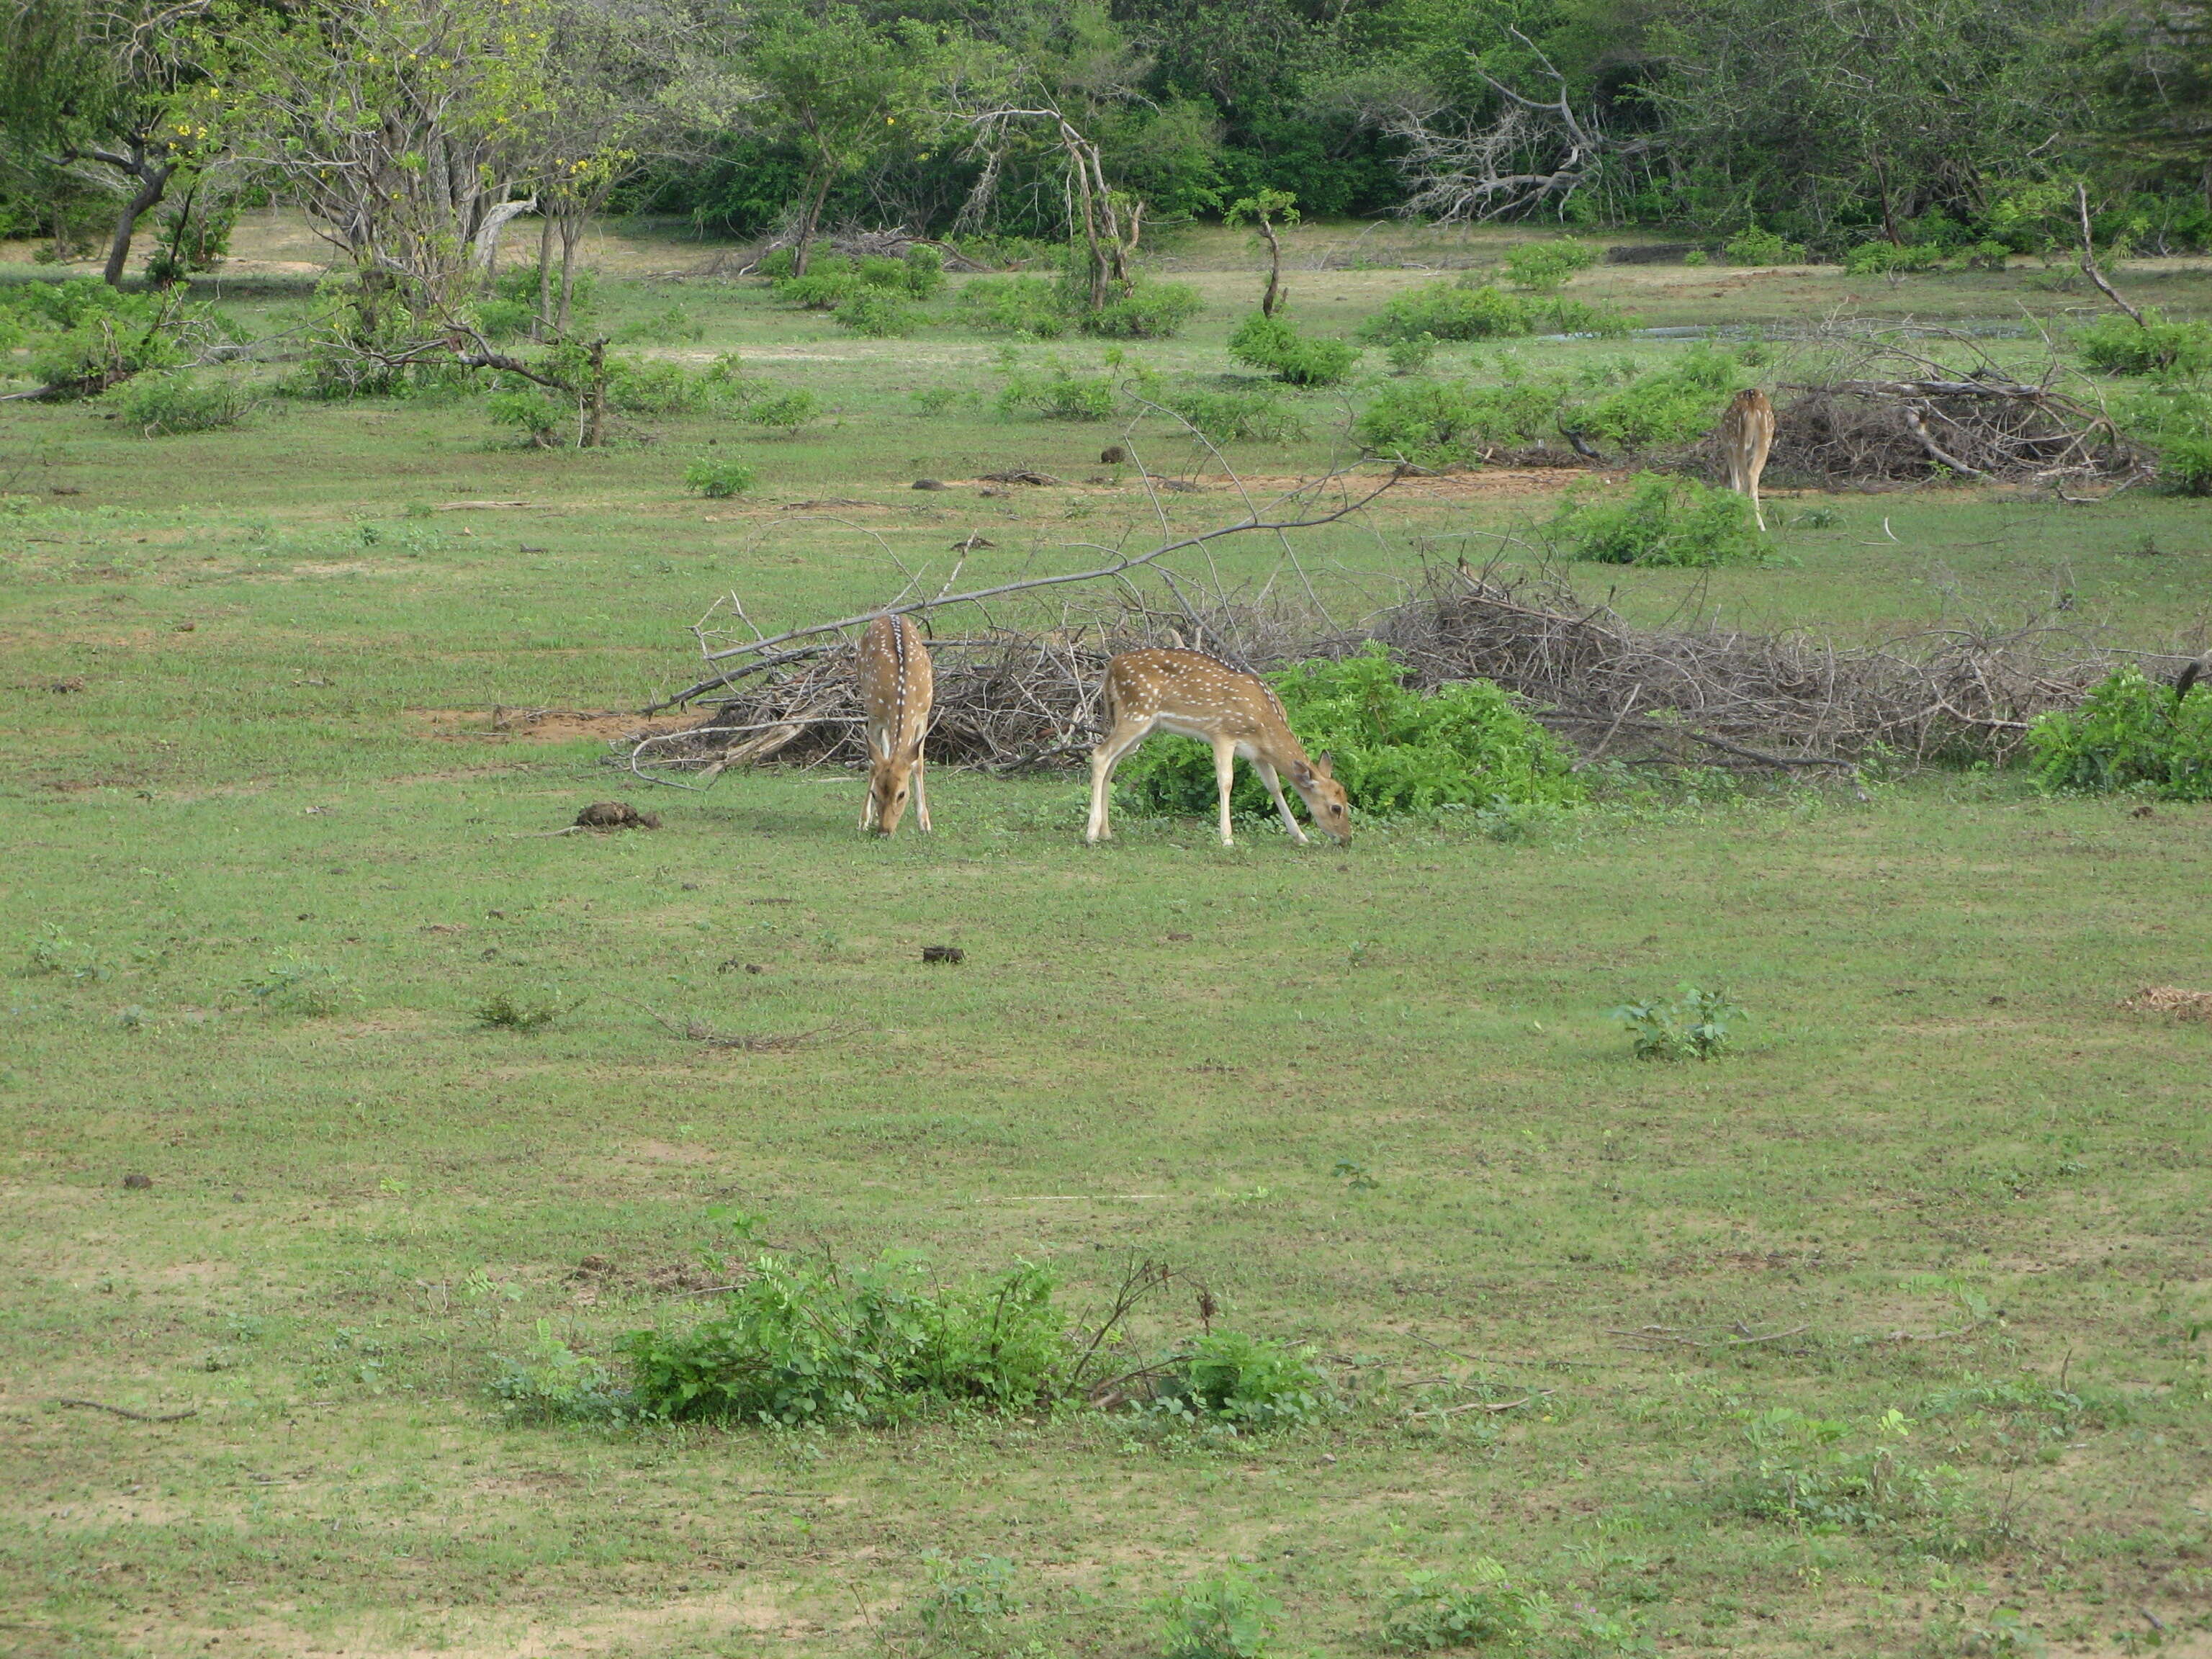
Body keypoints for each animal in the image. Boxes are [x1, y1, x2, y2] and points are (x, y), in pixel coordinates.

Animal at [853, 619, 933, 836]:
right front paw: (863, 820)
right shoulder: (875, 716)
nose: (884, 831)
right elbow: (873, 764)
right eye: (874, 793)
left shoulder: (923, 716)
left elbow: (918, 763)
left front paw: (925, 823)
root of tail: (888, 615)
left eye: (902, 794)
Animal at [1074, 650, 1344, 849]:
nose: (1346, 839)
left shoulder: (1257, 753)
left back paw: (1106, 832)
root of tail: (1111, 666)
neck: (1263, 721)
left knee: (1112, 763)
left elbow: (1274, 787)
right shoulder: (1223, 734)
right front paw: (1227, 839)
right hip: (1136, 713)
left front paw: (1300, 836)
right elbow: (1225, 781)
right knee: (1100, 755)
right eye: (1336, 808)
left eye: (1346, 799)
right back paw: (1091, 834)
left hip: (1140, 724)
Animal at [1707, 389, 1778, 526]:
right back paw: (1760, 524)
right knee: (1754, 474)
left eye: (1723, 483)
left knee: (1746, 476)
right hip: (1766, 439)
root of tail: (1752, 404)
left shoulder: (1727, 446)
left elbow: (1735, 480)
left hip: (1736, 439)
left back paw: (1743, 518)